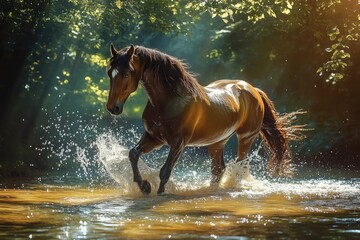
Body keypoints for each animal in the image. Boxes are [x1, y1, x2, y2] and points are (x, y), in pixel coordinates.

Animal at [105, 44, 302, 195]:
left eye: (126, 73)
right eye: (109, 73)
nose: (113, 108)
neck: (170, 100)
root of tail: (252, 89)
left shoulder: (178, 142)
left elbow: (165, 172)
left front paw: (159, 193)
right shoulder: (154, 138)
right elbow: (133, 154)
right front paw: (145, 186)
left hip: (246, 138)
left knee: (239, 167)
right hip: (218, 142)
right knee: (218, 170)